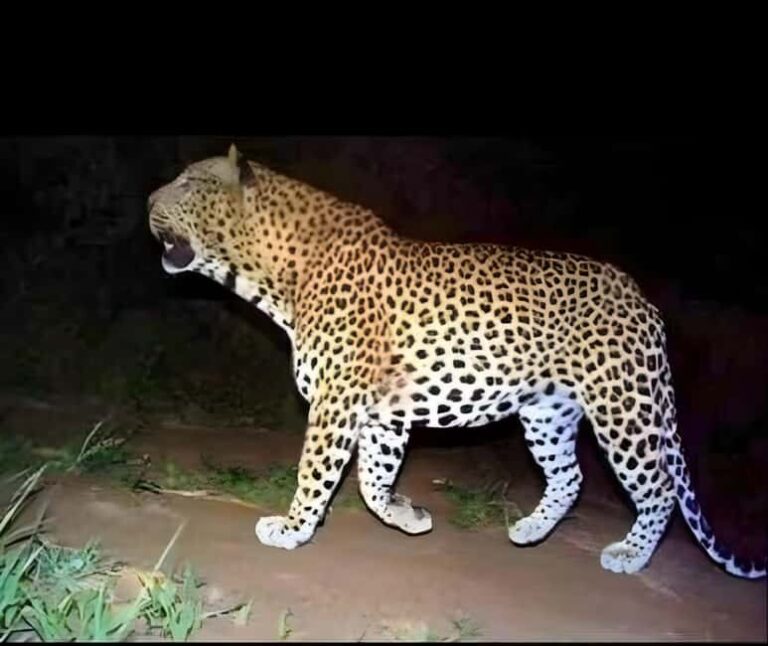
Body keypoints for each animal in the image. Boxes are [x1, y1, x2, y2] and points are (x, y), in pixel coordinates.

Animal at [147, 144, 765, 578]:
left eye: (188, 181)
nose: (149, 200)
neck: (278, 274)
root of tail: (642, 298)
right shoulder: (381, 413)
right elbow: (372, 481)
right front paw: (409, 516)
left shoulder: (336, 402)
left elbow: (315, 471)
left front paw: (293, 527)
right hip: (546, 413)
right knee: (571, 476)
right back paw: (529, 531)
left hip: (623, 410)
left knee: (658, 488)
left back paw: (630, 556)